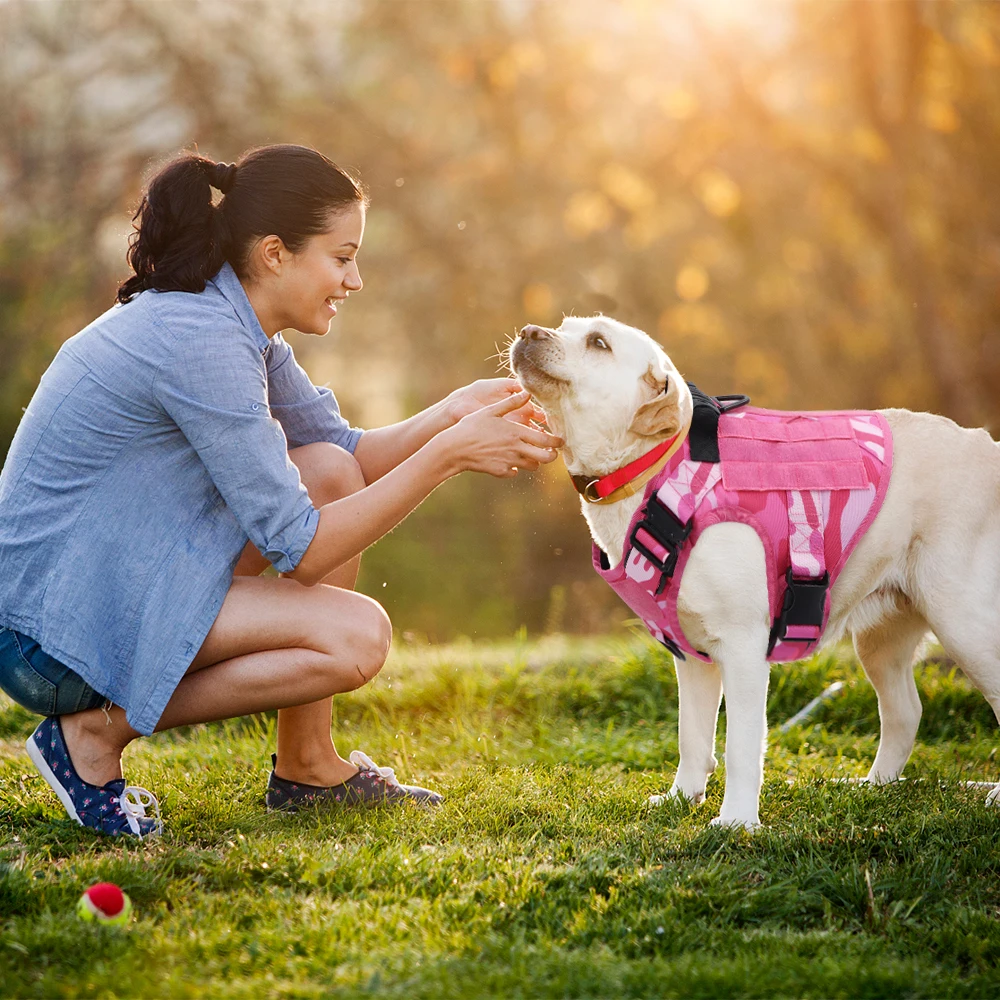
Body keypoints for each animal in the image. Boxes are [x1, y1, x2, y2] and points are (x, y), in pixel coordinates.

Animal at [512, 314, 1000, 828]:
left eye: (598, 343)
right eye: (565, 325)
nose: (528, 332)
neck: (659, 471)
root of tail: (987, 445)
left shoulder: (744, 648)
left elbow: (740, 747)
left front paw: (736, 822)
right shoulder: (690, 658)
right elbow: (692, 738)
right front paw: (682, 797)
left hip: (965, 622)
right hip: (881, 642)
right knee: (905, 712)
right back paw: (874, 786)